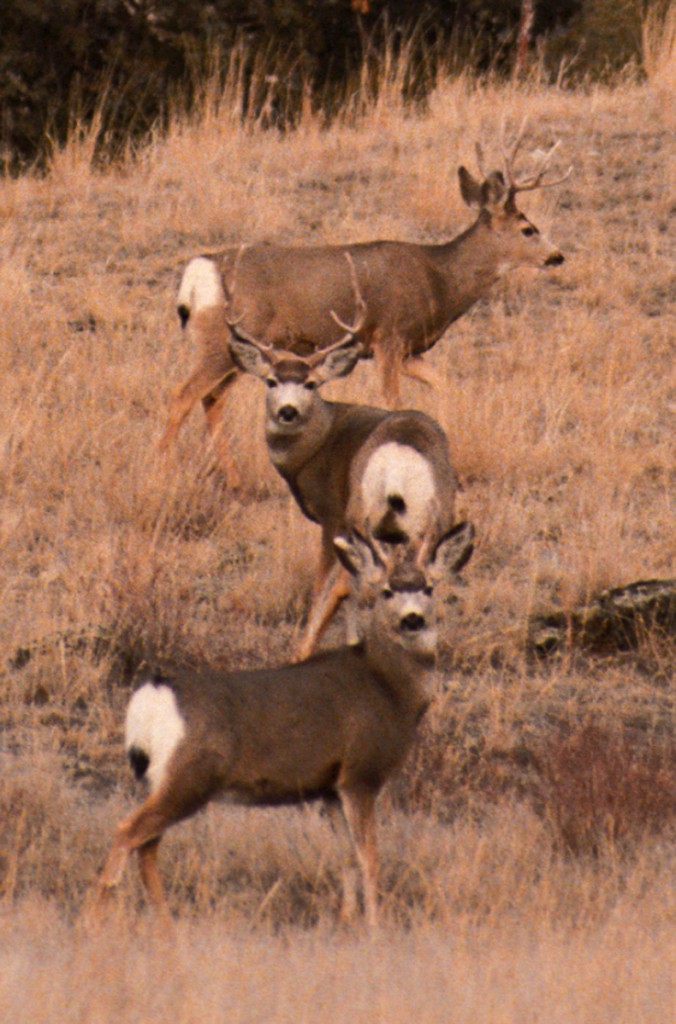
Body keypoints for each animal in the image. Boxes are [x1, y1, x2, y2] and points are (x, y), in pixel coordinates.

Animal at [92, 520, 475, 929]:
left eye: (429, 588)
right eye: (387, 590)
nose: (413, 619)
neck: (390, 687)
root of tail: (154, 693)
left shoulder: (329, 788)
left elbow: (345, 856)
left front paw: (347, 918)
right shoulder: (360, 773)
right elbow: (369, 857)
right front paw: (375, 925)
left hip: (164, 779)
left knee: (147, 845)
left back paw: (165, 926)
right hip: (191, 774)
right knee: (126, 832)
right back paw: (93, 920)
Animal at [158, 122, 569, 483]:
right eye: (528, 229)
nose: (557, 256)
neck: (440, 280)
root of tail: (199, 270)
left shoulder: (408, 351)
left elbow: (445, 384)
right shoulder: (390, 336)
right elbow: (393, 402)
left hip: (239, 349)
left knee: (211, 400)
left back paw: (234, 480)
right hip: (222, 340)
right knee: (181, 395)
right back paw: (164, 471)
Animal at [224, 260, 467, 659]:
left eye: (311, 383)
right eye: (271, 381)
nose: (288, 411)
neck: (316, 444)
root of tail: (399, 455)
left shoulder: (330, 515)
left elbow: (322, 585)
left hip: (358, 514)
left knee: (349, 583)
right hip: (429, 517)